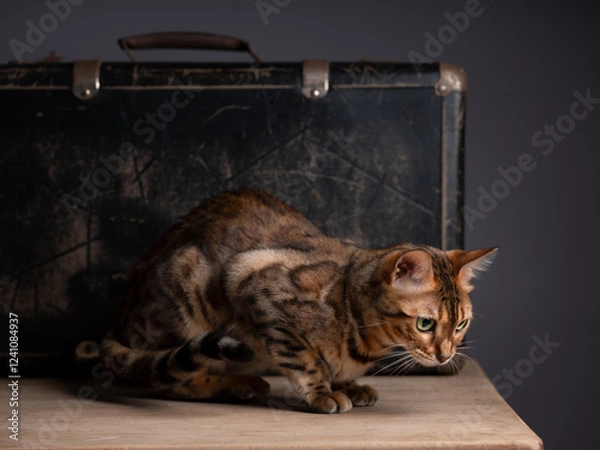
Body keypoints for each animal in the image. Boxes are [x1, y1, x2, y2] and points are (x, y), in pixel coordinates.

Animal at [99, 188, 497, 414]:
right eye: (425, 323)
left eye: (461, 324)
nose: (446, 355)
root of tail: (117, 324)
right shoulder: (254, 284)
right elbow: (304, 360)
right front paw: (322, 392)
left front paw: (348, 385)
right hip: (188, 289)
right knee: (170, 379)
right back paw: (240, 386)